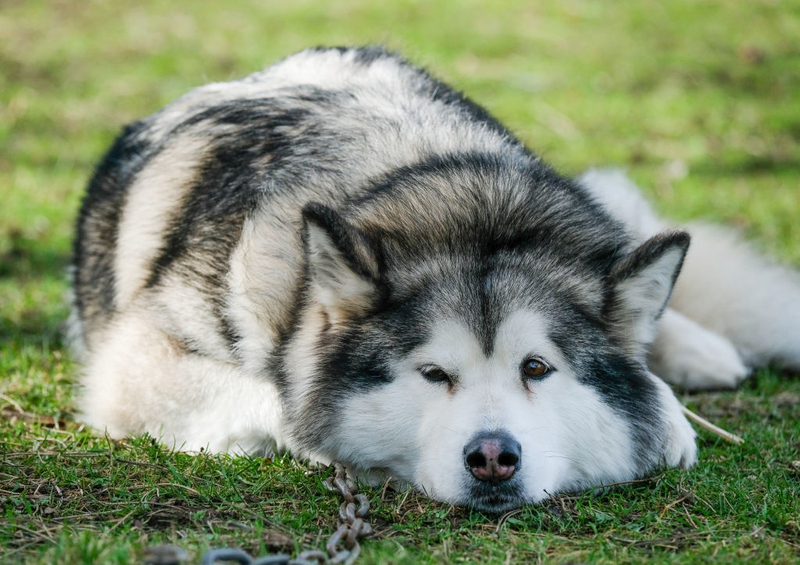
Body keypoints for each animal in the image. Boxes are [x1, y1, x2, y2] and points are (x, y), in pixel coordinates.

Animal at [70, 48, 800, 512]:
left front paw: (668, 414)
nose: (493, 457)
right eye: (432, 374)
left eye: (537, 368)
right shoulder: (133, 362)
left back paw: (702, 353)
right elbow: (279, 397)